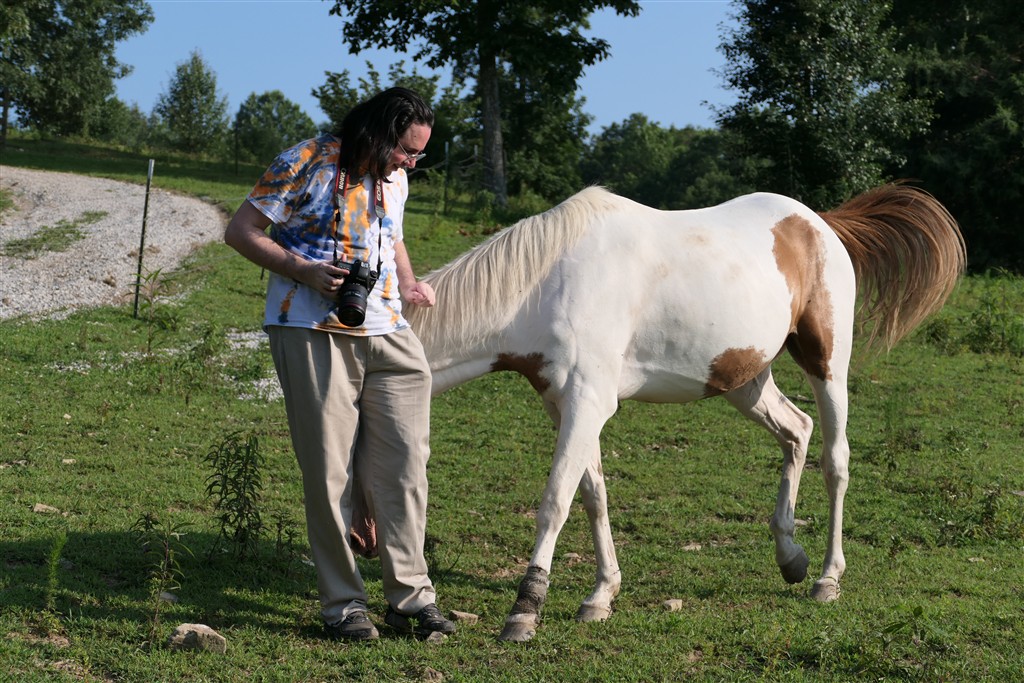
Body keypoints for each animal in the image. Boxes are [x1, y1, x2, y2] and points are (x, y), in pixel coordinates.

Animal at [354, 183, 965, 642]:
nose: (363, 540)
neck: (545, 284)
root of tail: (820, 224)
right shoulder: (566, 404)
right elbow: (593, 495)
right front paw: (601, 595)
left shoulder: (587, 402)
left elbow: (555, 502)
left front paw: (524, 612)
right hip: (745, 379)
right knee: (797, 432)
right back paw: (790, 556)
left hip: (826, 362)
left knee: (835, 460)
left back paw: (827, 579)